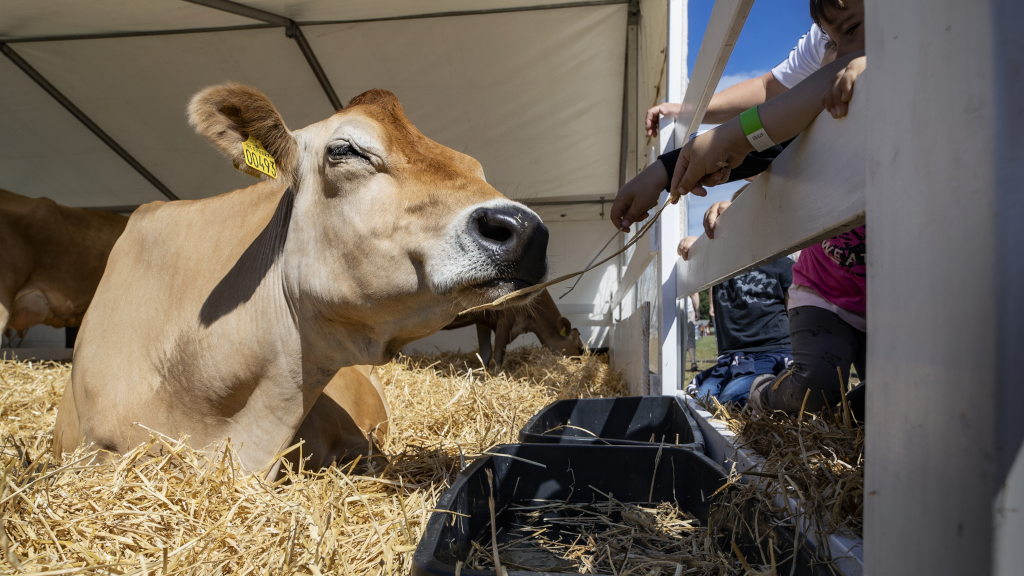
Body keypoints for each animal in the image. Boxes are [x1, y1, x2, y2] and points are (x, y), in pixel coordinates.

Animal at [442, 288, 583, 368]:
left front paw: (484, 374)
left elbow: (486, 352)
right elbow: (498, 352)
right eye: (580, 349)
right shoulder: (506, 316)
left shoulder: (483, 319)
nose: (578, 366)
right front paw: (497, 375)